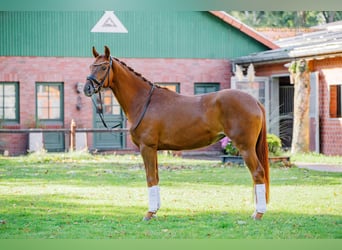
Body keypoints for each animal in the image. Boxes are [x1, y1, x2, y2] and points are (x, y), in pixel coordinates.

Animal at [83, 46, 270, 220]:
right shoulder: (154, 150)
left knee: (257, 173)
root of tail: (254, 101)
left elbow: (150, 178)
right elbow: (156, 177)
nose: (87, 88)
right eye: (91, 66)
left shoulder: (147, 147)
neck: (144, 101)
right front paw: (155, 211)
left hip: (245, 147)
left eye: (103, 67)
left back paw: (258, 214)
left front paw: (149, 213)